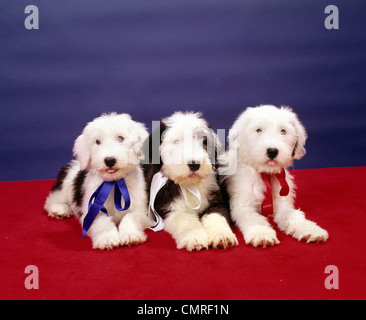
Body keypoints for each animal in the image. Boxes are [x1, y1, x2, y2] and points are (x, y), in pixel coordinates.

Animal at [43, 112, 149, 250]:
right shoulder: (92, 208)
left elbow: (130, 217)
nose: (109, 160)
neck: (114, 183)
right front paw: (107, 238)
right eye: (97, 141)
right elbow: (102, 222)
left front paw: (131, 235)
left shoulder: (140, 208)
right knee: (52, 199)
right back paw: (60, 210)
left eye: (120, 138)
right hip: (67, 182)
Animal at [144, 111, 239, 251]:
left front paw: (222, 236)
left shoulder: (217, 200)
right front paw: (195, 238)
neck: (190, 185)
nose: (194, 164)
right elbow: (186, 221)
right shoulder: (169, 208)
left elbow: (216, 216)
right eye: (176, 141)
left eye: (204, 142)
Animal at [219, 105, 330, 248]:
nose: (272, 151)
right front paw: (262, 234)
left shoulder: (283, 205)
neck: (265, 173)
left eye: (283, 131)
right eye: (258, 130)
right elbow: (255, 219)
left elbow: (294, 216)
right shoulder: (243, 207)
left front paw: (310, 229)